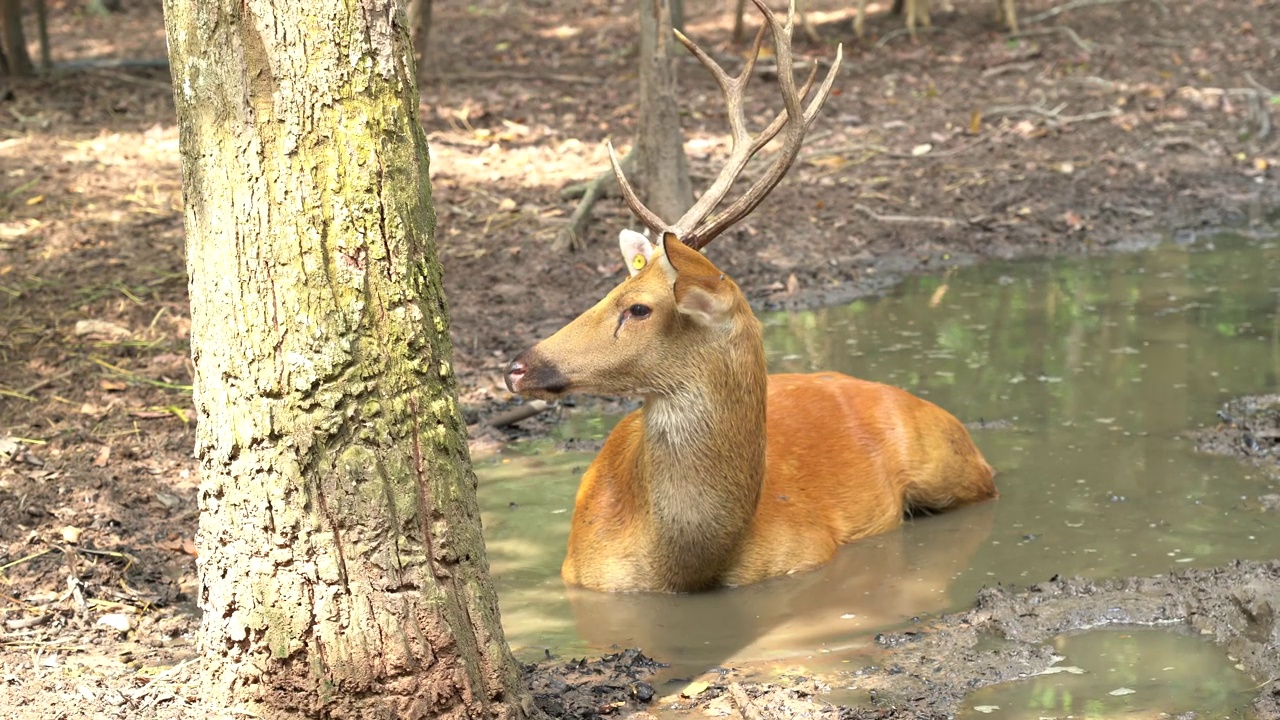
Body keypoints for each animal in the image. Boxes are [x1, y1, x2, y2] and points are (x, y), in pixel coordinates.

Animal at [504, 0, 993, 591]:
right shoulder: (576, 570)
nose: (517, 367)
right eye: (611, 289)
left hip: (952, 461)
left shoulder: (810, 550)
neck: (683, 564)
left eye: (638, 308)